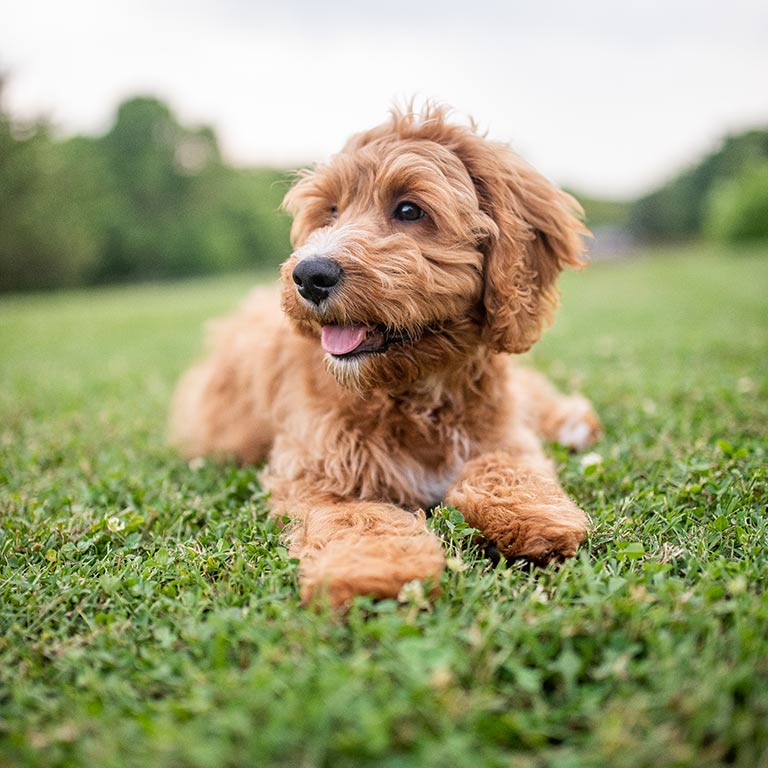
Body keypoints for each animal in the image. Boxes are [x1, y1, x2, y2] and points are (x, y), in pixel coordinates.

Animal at [171, 105, 604, 608]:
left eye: (409, 210)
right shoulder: (317, 470)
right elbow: (358, 517)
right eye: (330, 211)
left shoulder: (500, 432)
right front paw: (378, 569)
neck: (417, 390)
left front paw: (533, 514)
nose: (309, 275)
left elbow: (505, 463)